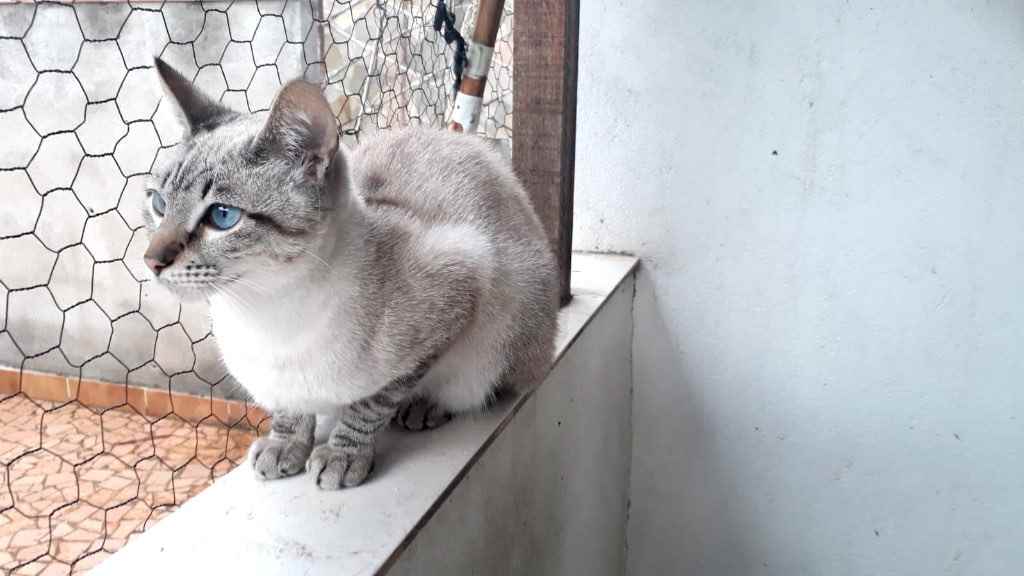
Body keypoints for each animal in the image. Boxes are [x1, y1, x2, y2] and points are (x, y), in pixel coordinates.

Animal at [143, 58, 558, 489]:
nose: (150, 260)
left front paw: (343, 455)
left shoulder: (460, 283)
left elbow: (373, 403)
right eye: (159, 204)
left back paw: (424, 408)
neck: (263, 315)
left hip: (506, 321)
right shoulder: (282, 384)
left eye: (222, 216)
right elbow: (291, 411)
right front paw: (285, 446)